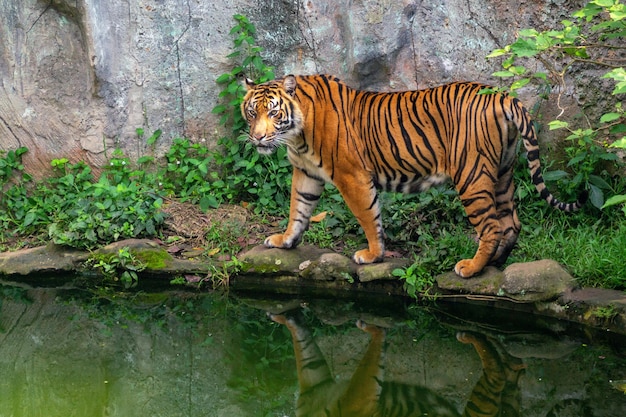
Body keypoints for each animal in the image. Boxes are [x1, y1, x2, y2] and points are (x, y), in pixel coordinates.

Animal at [240, 74, 584, 276]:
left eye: (274, 113)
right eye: (252, 112)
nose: (258, 138)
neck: (297, 134)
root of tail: (500, 95)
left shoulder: (352, 176)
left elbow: (368, 217)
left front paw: (372, 255)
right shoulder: (306, 173)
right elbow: (298, 209)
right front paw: (285, 241)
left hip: (472, 175)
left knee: (492, 226)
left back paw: (471, 267)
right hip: (502, 172)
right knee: (512, 223)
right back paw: (496, 263)